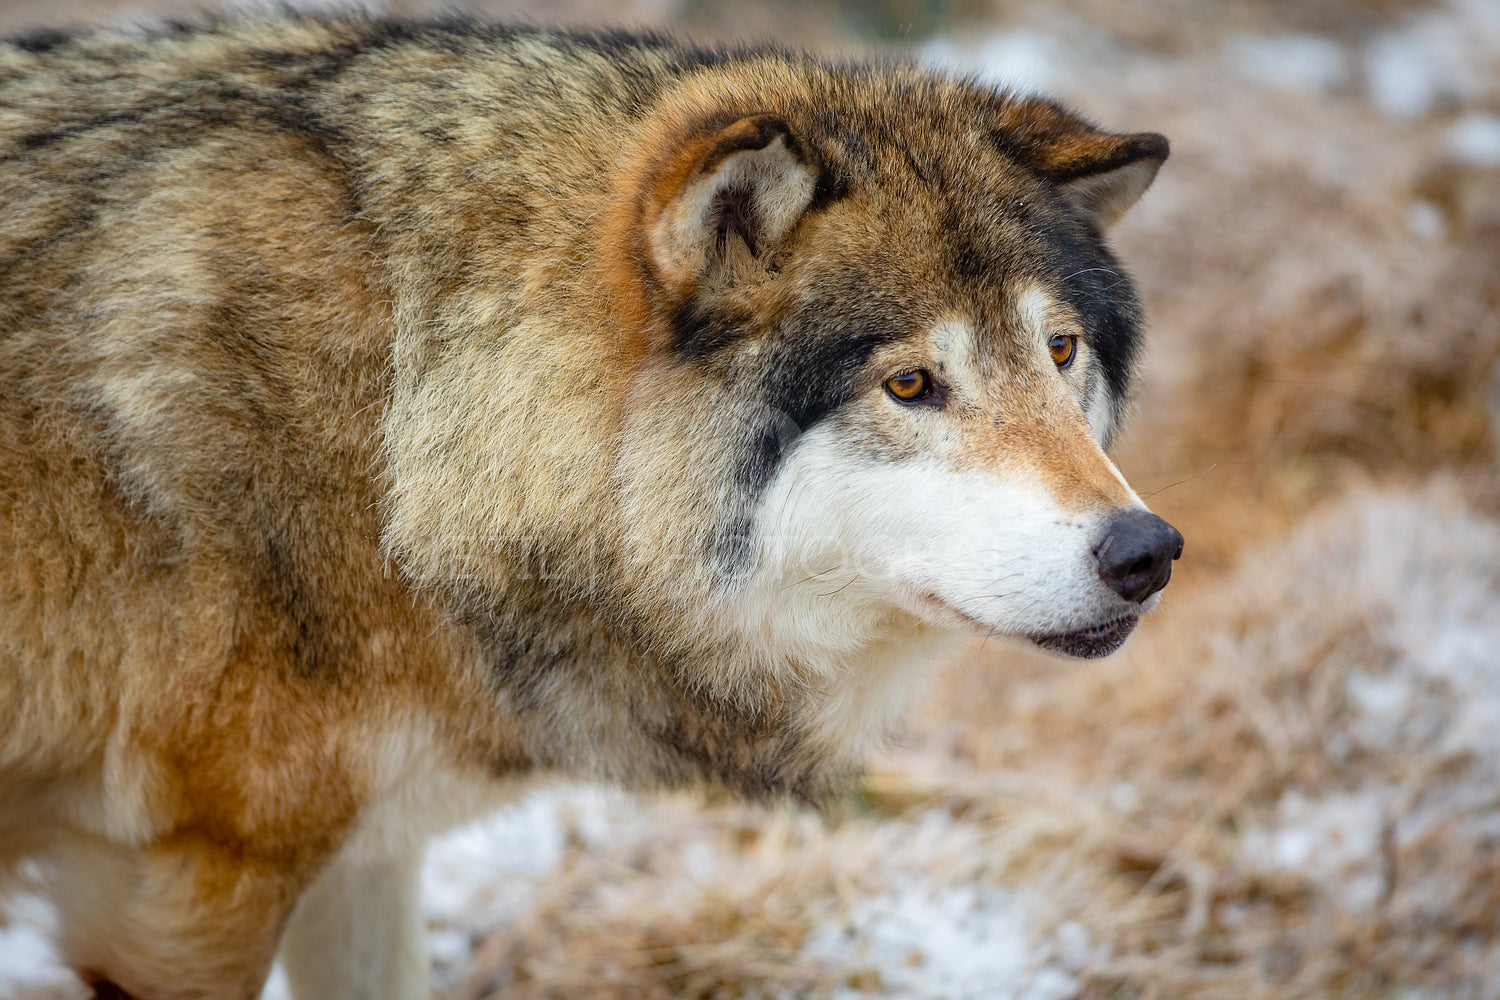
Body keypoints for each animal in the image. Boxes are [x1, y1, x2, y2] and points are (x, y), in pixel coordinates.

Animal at [2, 11, 1182, 995]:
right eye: (909, 384)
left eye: (1059, 350)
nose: (1148, 551)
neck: (399, 406)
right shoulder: (188, 886)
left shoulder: (361, 859)